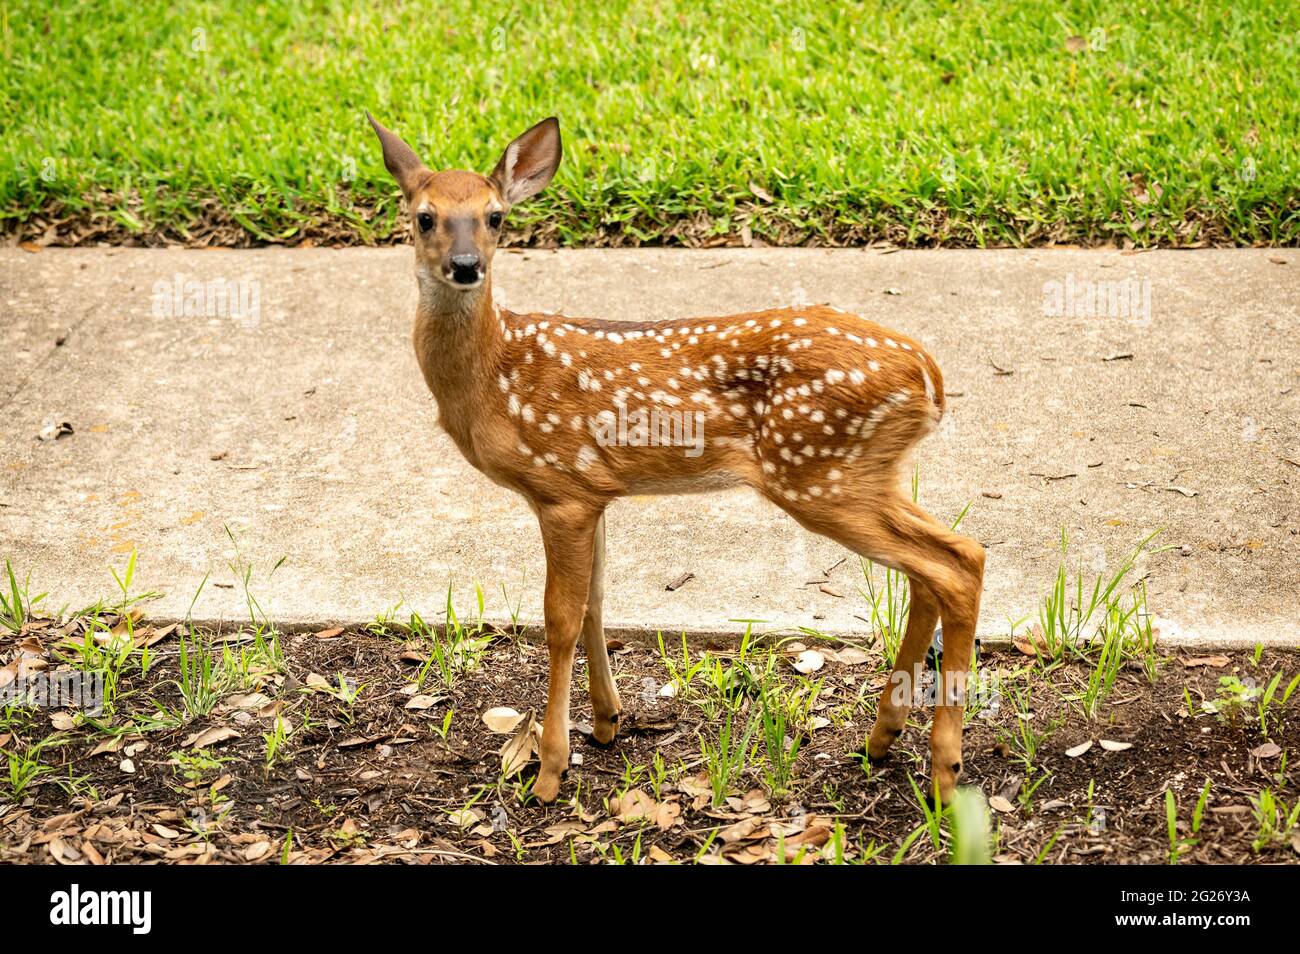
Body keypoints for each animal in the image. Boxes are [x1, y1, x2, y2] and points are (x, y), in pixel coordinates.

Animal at [368, 114, 985, 805]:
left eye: (494, 216)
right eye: (424, 217)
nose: (466, 265)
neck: (494, 373)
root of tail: (930, 377)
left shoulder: (560, 488)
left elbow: (559, 618)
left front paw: (550, 770)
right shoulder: (593, 492)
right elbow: (596, 602)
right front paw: (607, 723)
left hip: (820, 471)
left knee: (958, 562)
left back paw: (944, 769)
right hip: (863, 471)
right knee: (935, 565)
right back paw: (883, 738)